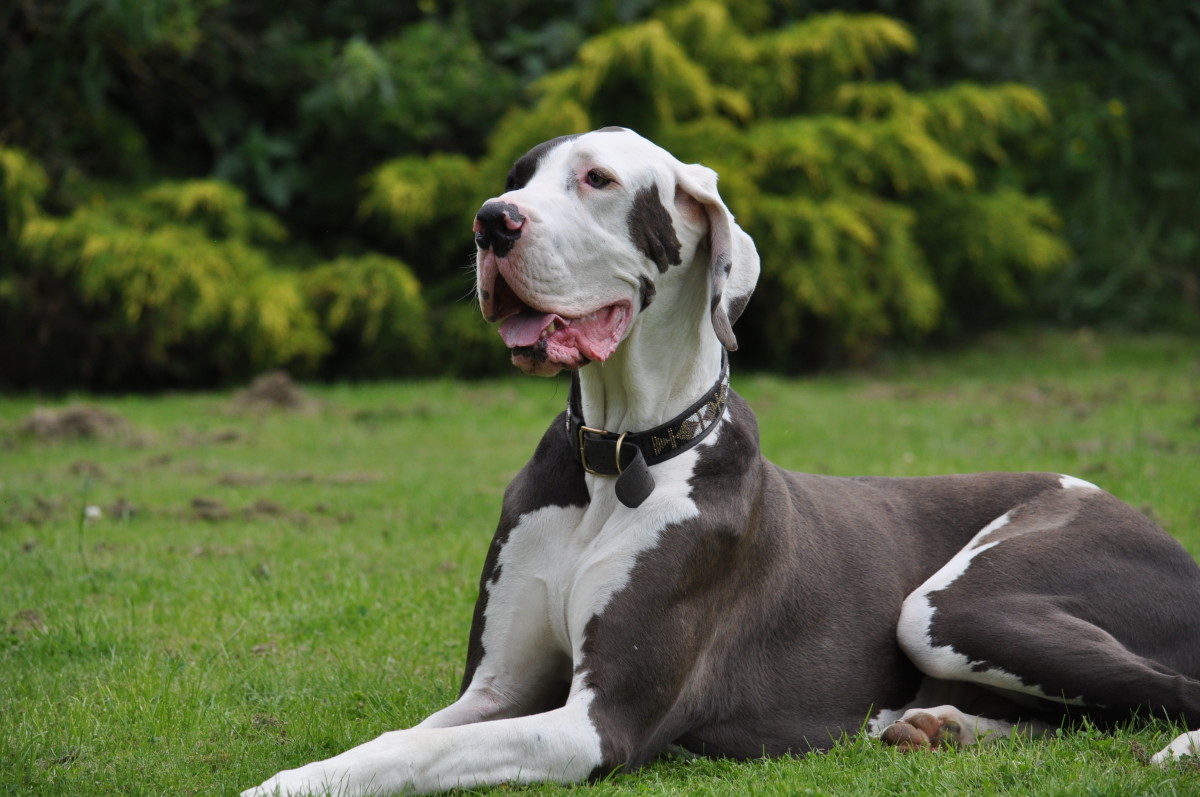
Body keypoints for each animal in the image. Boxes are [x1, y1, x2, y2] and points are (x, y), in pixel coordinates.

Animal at [243, 127, 1200, 792]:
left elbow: (414, 753)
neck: (619, 455)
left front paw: (286, 781)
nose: (490, 222)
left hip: (954, 604)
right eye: (518, 176)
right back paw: (941, 726)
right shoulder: (497, 688)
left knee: (1170, 689)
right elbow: (406, 739)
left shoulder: (601, 724)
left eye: (597, 180)